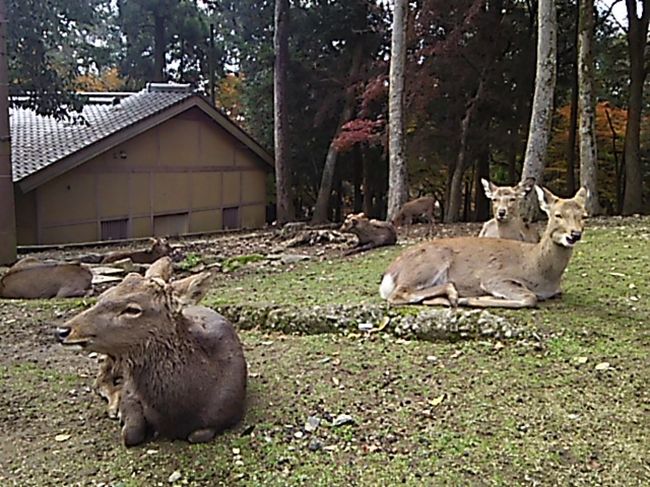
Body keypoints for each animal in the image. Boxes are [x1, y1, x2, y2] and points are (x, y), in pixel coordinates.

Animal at [55, 257, 247, 446]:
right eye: (101, 297)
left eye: (133, 309)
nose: (62, 330)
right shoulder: (130, 390)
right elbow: (131, 433)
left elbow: (198, 435)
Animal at [379, 186, 588, 308]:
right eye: (557, 215)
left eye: (584, 216)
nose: (574, 234)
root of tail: (391, 273)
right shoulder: (493, 277)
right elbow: (529, 297)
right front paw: (474, 299)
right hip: (429, 263)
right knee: (400, 293)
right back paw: (454, 295)